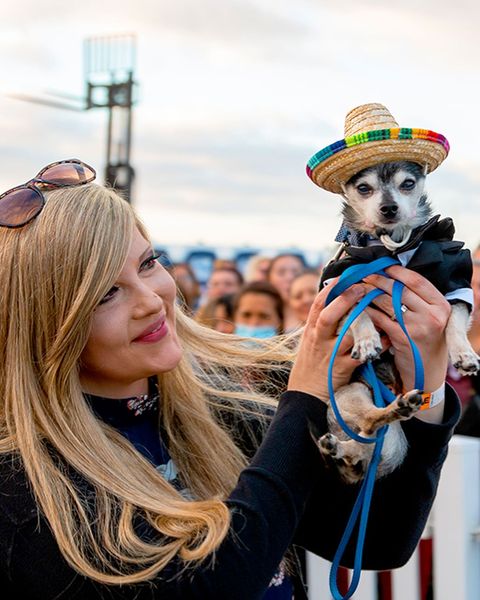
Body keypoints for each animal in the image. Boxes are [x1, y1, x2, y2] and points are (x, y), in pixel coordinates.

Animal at [316, 162, 478, 486]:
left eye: (408, 184)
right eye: (363, 188)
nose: (389, 208)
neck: (391, 250)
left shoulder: (456, 286)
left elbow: (453, 320)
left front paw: (463, 354)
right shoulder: (338, 284)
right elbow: (357, 310)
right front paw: (367, 340)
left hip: (388, 438)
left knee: (365, 440)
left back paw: (344, 447)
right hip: (348, 395)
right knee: (367, 424)